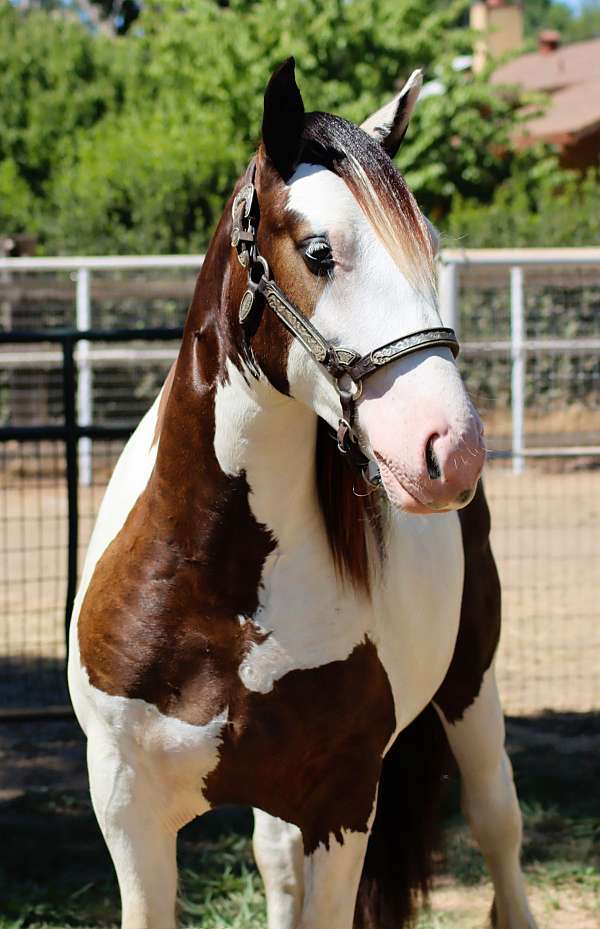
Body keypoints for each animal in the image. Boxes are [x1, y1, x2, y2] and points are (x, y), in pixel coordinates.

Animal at [68, 59, 537, 929]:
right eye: (320, 251)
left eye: (432, 247)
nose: (452, 450)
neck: (217, 585)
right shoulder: (127, 808)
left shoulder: (343, 803)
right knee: (277, 864)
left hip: (471, 687)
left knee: (499, 824)